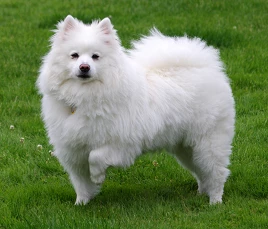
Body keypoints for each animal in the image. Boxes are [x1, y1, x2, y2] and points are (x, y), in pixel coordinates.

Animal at [37, 16, 234, 206]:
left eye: (95, 57)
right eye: (74, 55)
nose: (84, 67)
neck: (84, 95)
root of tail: (208, 68)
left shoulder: (121, 143)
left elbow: (95, 157)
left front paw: (98, 176)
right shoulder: (74, 150)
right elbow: (81, 182)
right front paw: (81, 203)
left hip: (209, 142)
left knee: (216, 172)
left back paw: (215, 201)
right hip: (186, 147)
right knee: (201, 172)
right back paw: (201, 193)